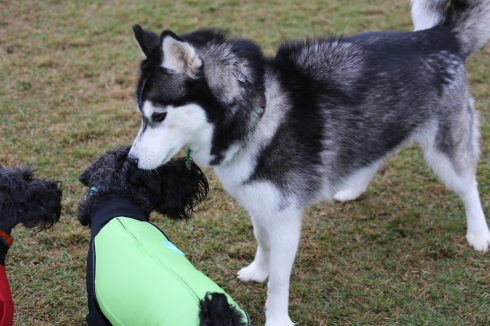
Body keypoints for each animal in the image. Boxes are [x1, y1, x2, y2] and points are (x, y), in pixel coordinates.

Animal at [127, 1, 490, 324]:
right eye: (142, 114)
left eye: (158, 116)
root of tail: (439, 35)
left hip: (445, 150)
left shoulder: (286, 219)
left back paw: (478, 233)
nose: (130, 161)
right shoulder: (259, 204)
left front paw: (277, 318)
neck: (259, 113)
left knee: (467, 185)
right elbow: (261, 241)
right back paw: (353, 188)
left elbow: (279, 282)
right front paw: (259, 269)